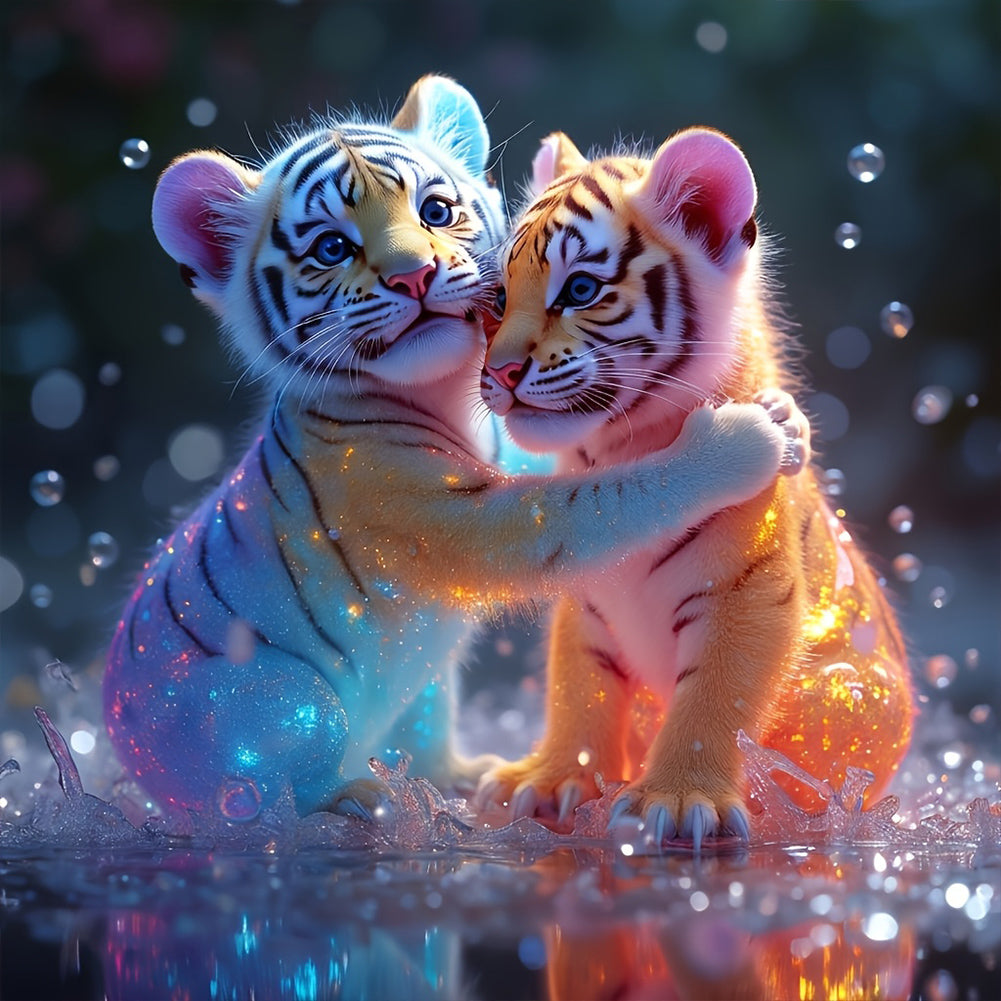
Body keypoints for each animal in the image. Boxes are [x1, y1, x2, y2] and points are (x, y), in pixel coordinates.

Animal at [103, 78, 803, 823]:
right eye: (331, 247)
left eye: (434, 210)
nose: (416, 274)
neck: (442, 394)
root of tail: (118, 723)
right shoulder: (432, 507)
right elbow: (597, 501)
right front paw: (749, 436)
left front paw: (787, 417)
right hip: (272, 698)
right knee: (270, 785)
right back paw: (357, 798)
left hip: (429, 685)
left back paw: (460, 776)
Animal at [477, 127, 915, 849]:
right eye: (497, 299)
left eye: (580, 288)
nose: (499, 372)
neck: (614, 455)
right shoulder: (585, 607)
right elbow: (578, 692)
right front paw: (546, 780)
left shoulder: (746, 595)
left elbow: (716, 698)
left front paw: (682, 801)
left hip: (852, 690)